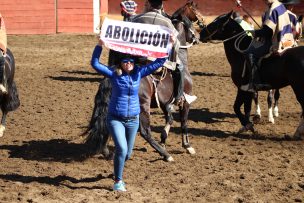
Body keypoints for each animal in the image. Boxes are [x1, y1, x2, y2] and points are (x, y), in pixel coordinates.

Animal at [83, 0, 204, 161]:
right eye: (193, 16)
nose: (198, 35)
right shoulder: (185, 102)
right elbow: (183, 123)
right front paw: (187, 146)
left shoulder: (165, 103)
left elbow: (170, 119)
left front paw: (164, 139)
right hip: (143, 106)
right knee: (145, 131)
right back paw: (165, 155)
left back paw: (107, 152)